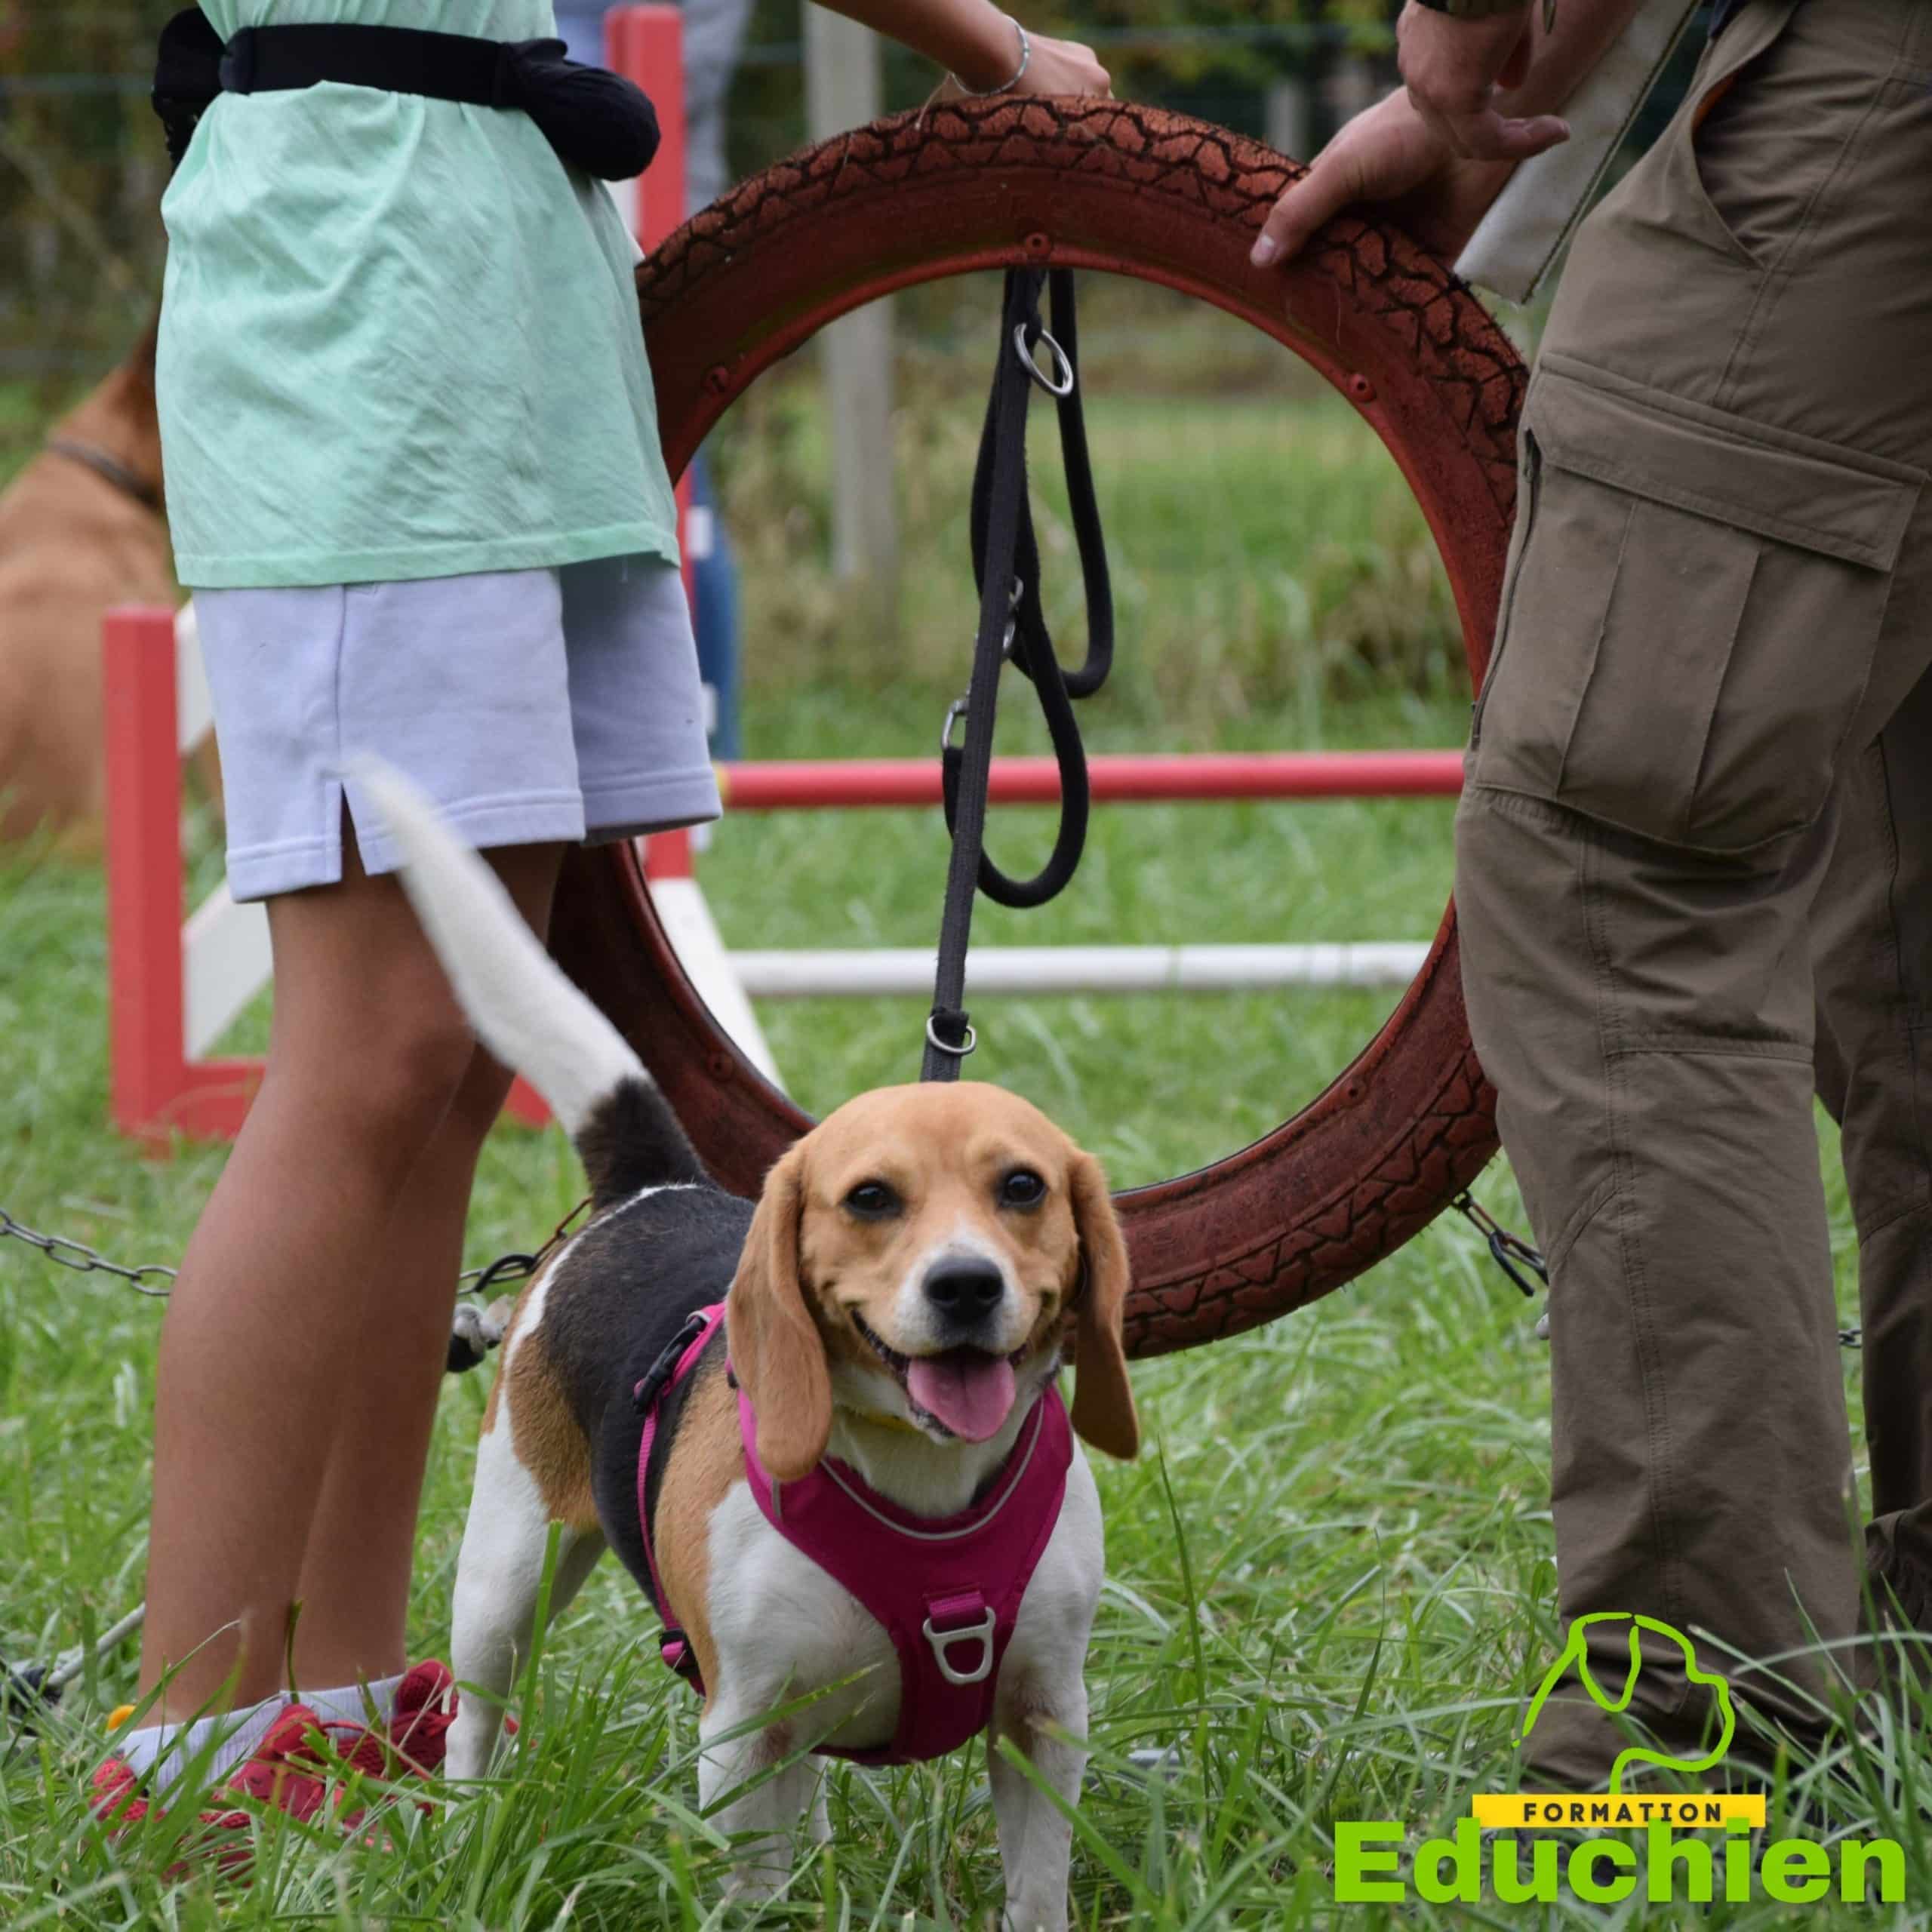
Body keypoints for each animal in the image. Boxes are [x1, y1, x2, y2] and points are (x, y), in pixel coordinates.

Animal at [365, 761, 1128, 1924]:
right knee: (475, 1719)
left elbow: (1036, 1888)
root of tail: (654, 1185)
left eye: (1023, 1187)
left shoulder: (1045, 1716)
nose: (964, 1285)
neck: (920, 1480)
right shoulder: (737, 1731)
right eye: (871, 1198)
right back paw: (463, 1846)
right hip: (503, 1578)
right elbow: (751, 1882)